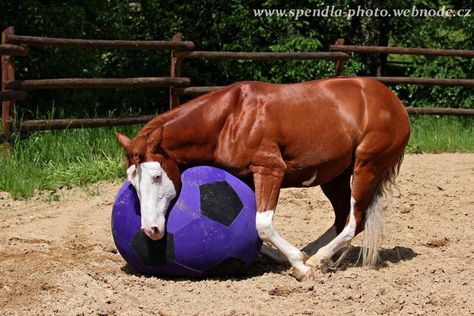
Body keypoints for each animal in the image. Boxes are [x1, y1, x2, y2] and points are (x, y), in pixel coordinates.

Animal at [116, 78, 410, 280]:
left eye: (156, 176)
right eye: (132, 181)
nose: (151, 230)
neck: (230, 120)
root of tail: (392, 101)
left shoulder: (270, 170)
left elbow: (262, 225)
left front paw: (299, 264)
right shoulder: (244, 179)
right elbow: (255, 234)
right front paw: (289, 257)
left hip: (366, 168)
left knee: (355, 222)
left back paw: (316, 260)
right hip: (335, 177)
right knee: (342, 218)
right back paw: (315, 251)